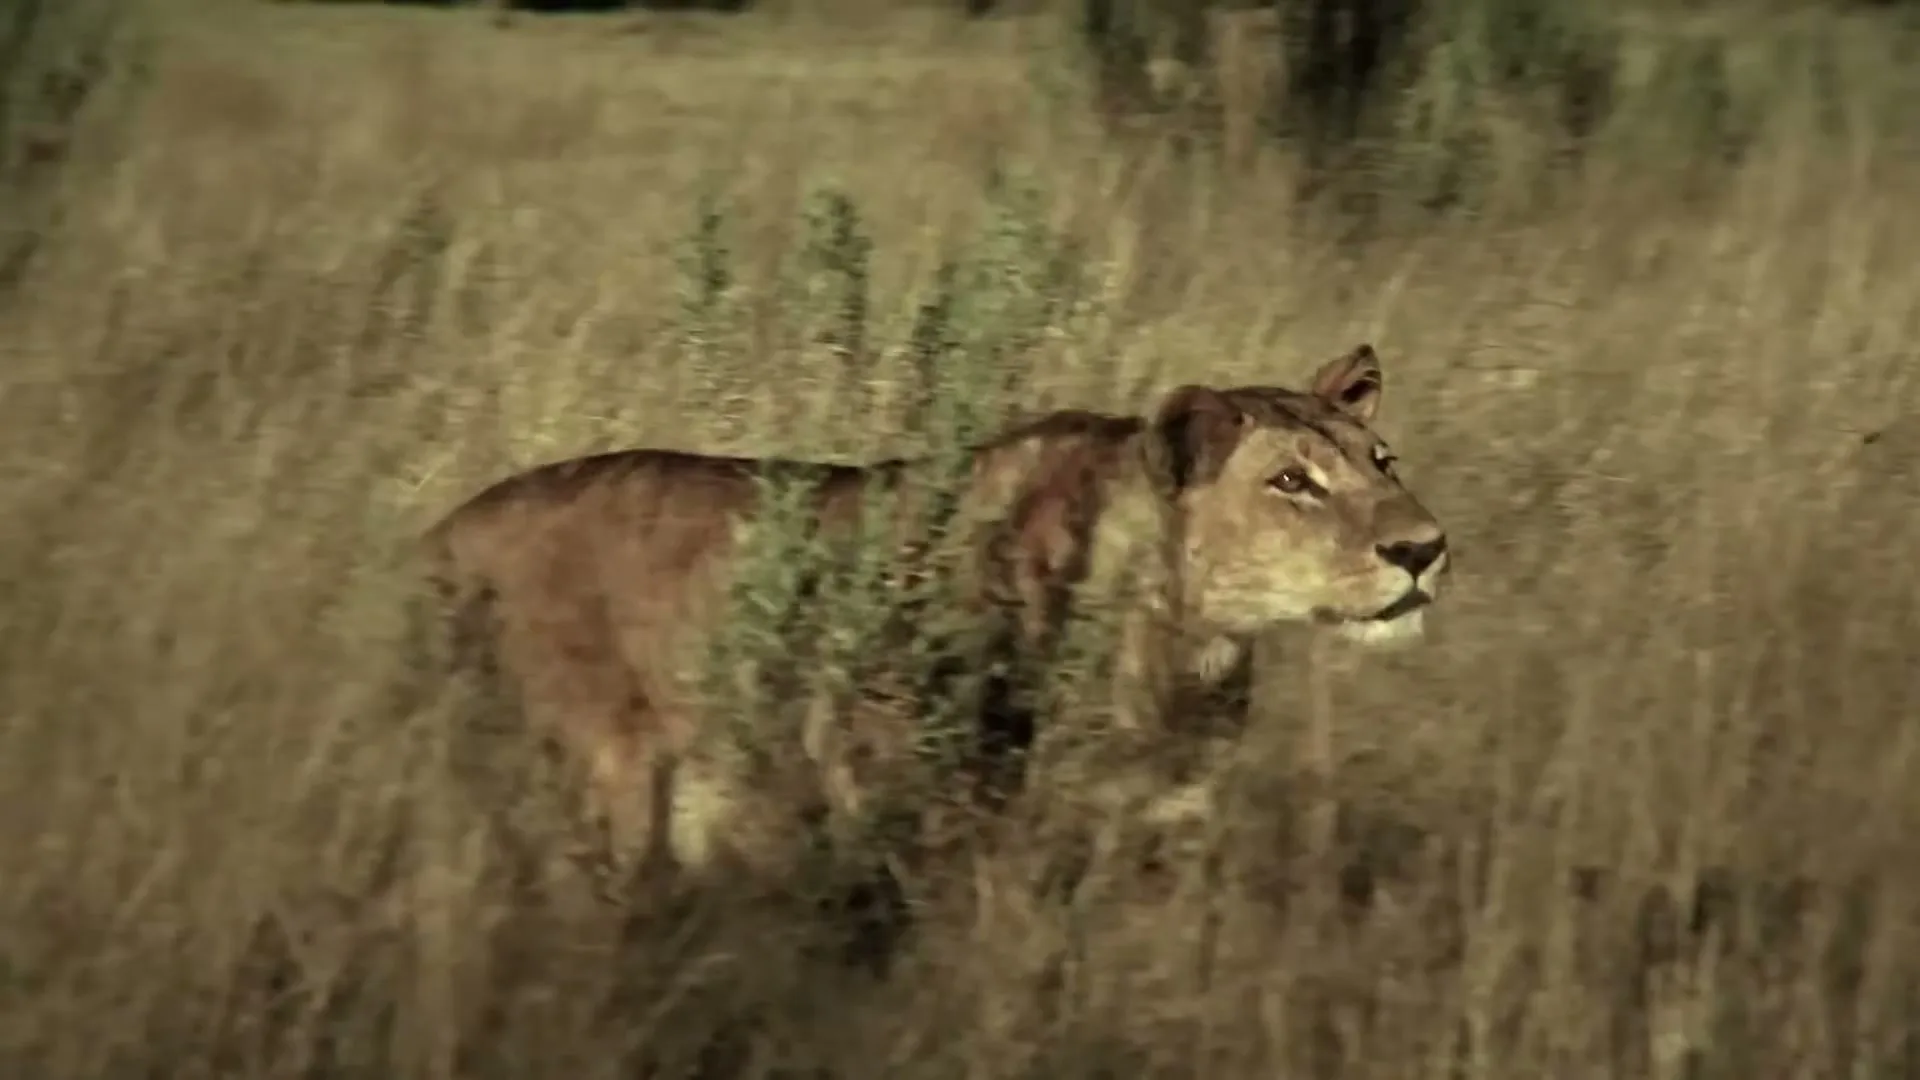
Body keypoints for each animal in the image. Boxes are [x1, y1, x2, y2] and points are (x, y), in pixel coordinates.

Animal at [420, 343, 1449, 881]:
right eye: (1292, 483)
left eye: (1384, 461)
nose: (1425, 548)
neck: (1185, 645)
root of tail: (447, 529)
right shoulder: (904, 797)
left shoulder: (1165, 828)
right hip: (600, 779)